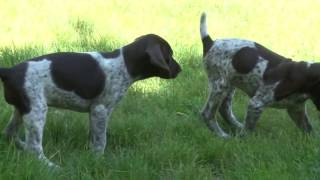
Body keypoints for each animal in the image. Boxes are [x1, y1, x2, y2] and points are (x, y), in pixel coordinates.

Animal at [0, 34, 181, 167]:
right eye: (169, 55)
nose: (180, 70)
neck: (124, 64)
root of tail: (9, 71)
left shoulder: (95, 113)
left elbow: (94, 137)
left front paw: (91, 156)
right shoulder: (100, 110)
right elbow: (101, 140)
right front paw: (99, 160)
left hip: (22, 109)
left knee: (9, 133)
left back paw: (21, 146)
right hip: (36, 112)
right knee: (34, 147)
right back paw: (52, 167)